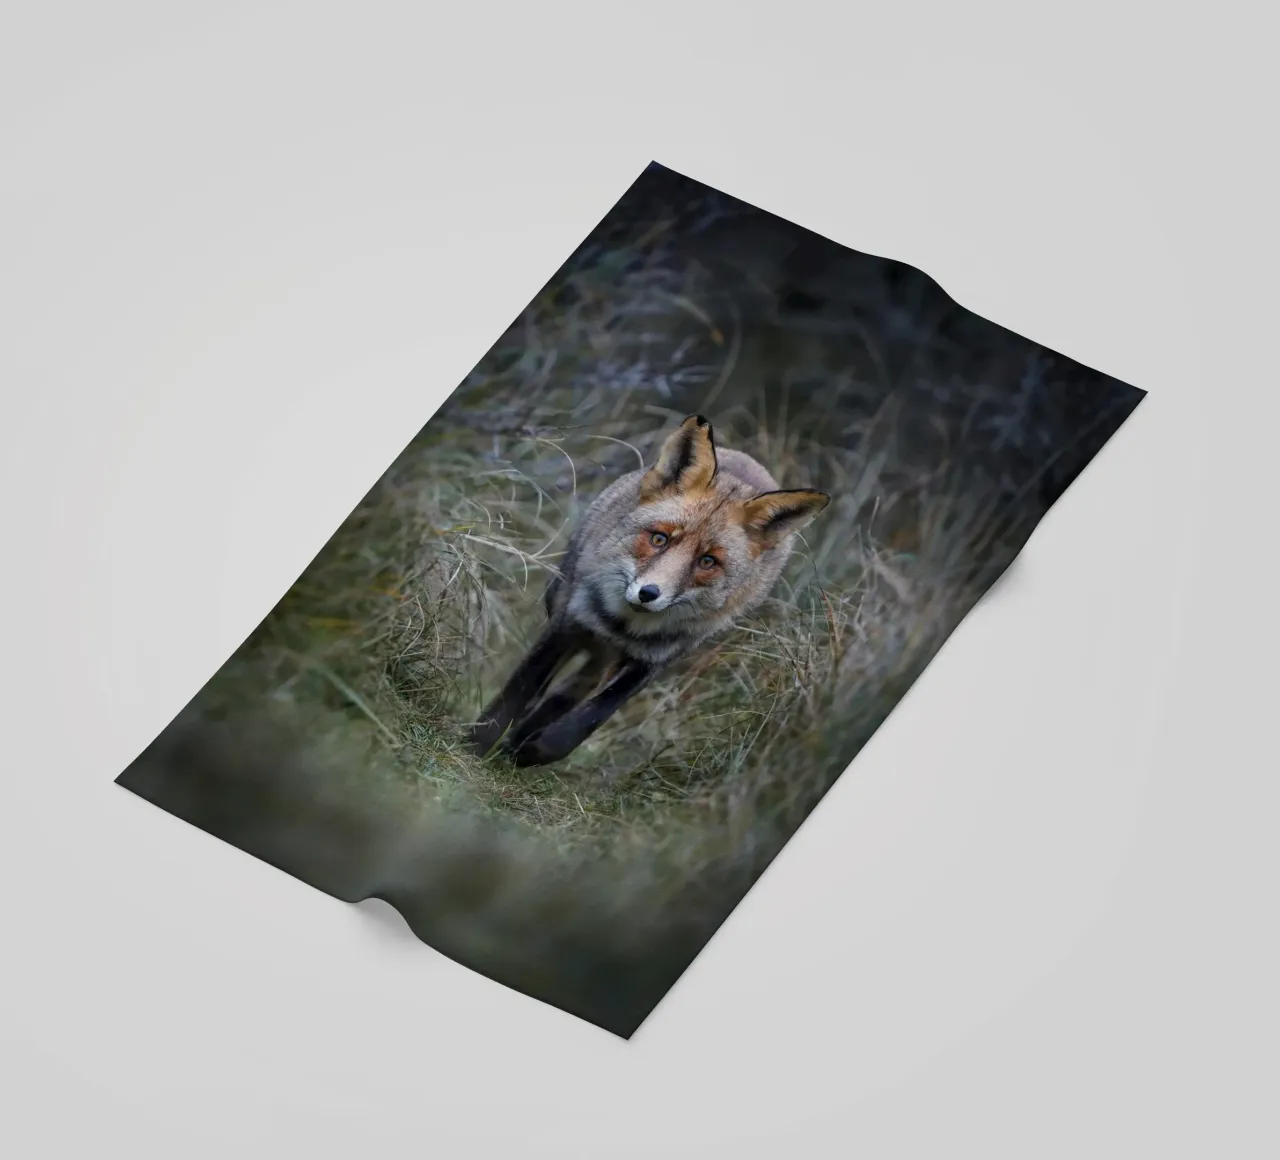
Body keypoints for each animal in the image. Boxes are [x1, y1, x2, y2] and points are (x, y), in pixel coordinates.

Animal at [469, 415, 831, 768]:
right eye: (659, 538)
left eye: (708, 561)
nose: (648, 593)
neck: (623, 626)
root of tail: (748, 460)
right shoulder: (568, 621)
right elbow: (520, 689)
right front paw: (476, 745)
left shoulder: (655, 660)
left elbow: (590, 718)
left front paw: (535, 749)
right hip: (562, 602)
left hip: (609, 658)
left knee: (572, 691)